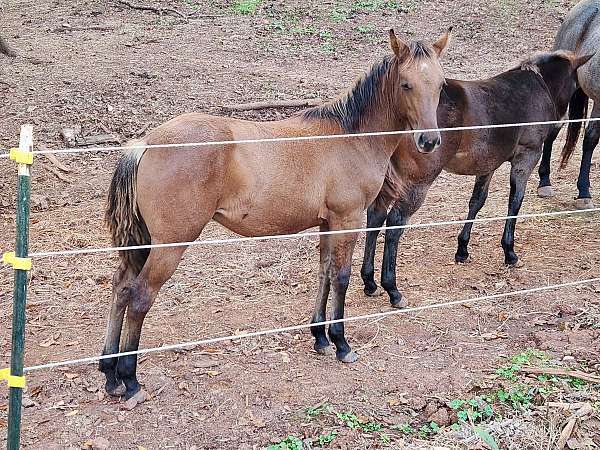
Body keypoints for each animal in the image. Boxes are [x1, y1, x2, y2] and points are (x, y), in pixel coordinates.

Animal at [102, 29, 450, 400]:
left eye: (440, 84)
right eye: (406, 84)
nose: (429, 141)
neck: (351, 136)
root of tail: (147, 143)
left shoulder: (327, 223)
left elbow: (325, 274)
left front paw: (320, 338)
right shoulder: (348, 219)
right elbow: (341, 277)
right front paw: (342, 344)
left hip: (142, 244)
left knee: (121, 288)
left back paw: (110, 375)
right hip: (169, 245)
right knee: (140, 296)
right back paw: (130, 380)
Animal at [360, 51, 592, 308]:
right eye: (577, 85)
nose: (562, 122)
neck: (538, 85)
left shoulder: (487, 165)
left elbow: (477, 202)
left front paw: (462, 249)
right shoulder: (527, 156)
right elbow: (515, 202)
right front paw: (509, 252)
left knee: (376, 215)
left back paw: (369, 282)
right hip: (417, 182)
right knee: (394, 223)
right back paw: (392, 289)